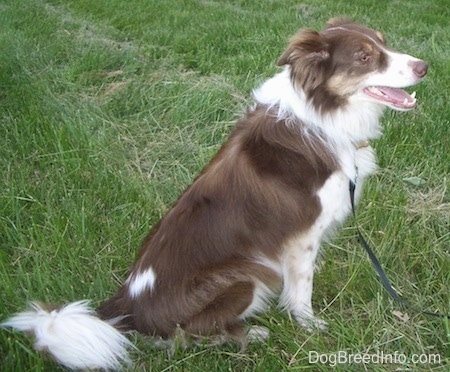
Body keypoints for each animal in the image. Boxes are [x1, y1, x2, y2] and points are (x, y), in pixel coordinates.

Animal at [1, 16, 428, 370]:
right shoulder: (302, 237)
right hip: (244, 277)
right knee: (186, 337)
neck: (322, 115)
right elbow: (301, 288)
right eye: (365, 57)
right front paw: (309, 326)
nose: (424, 67)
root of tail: (124, 307)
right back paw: (250, 333)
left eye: (384, 44)